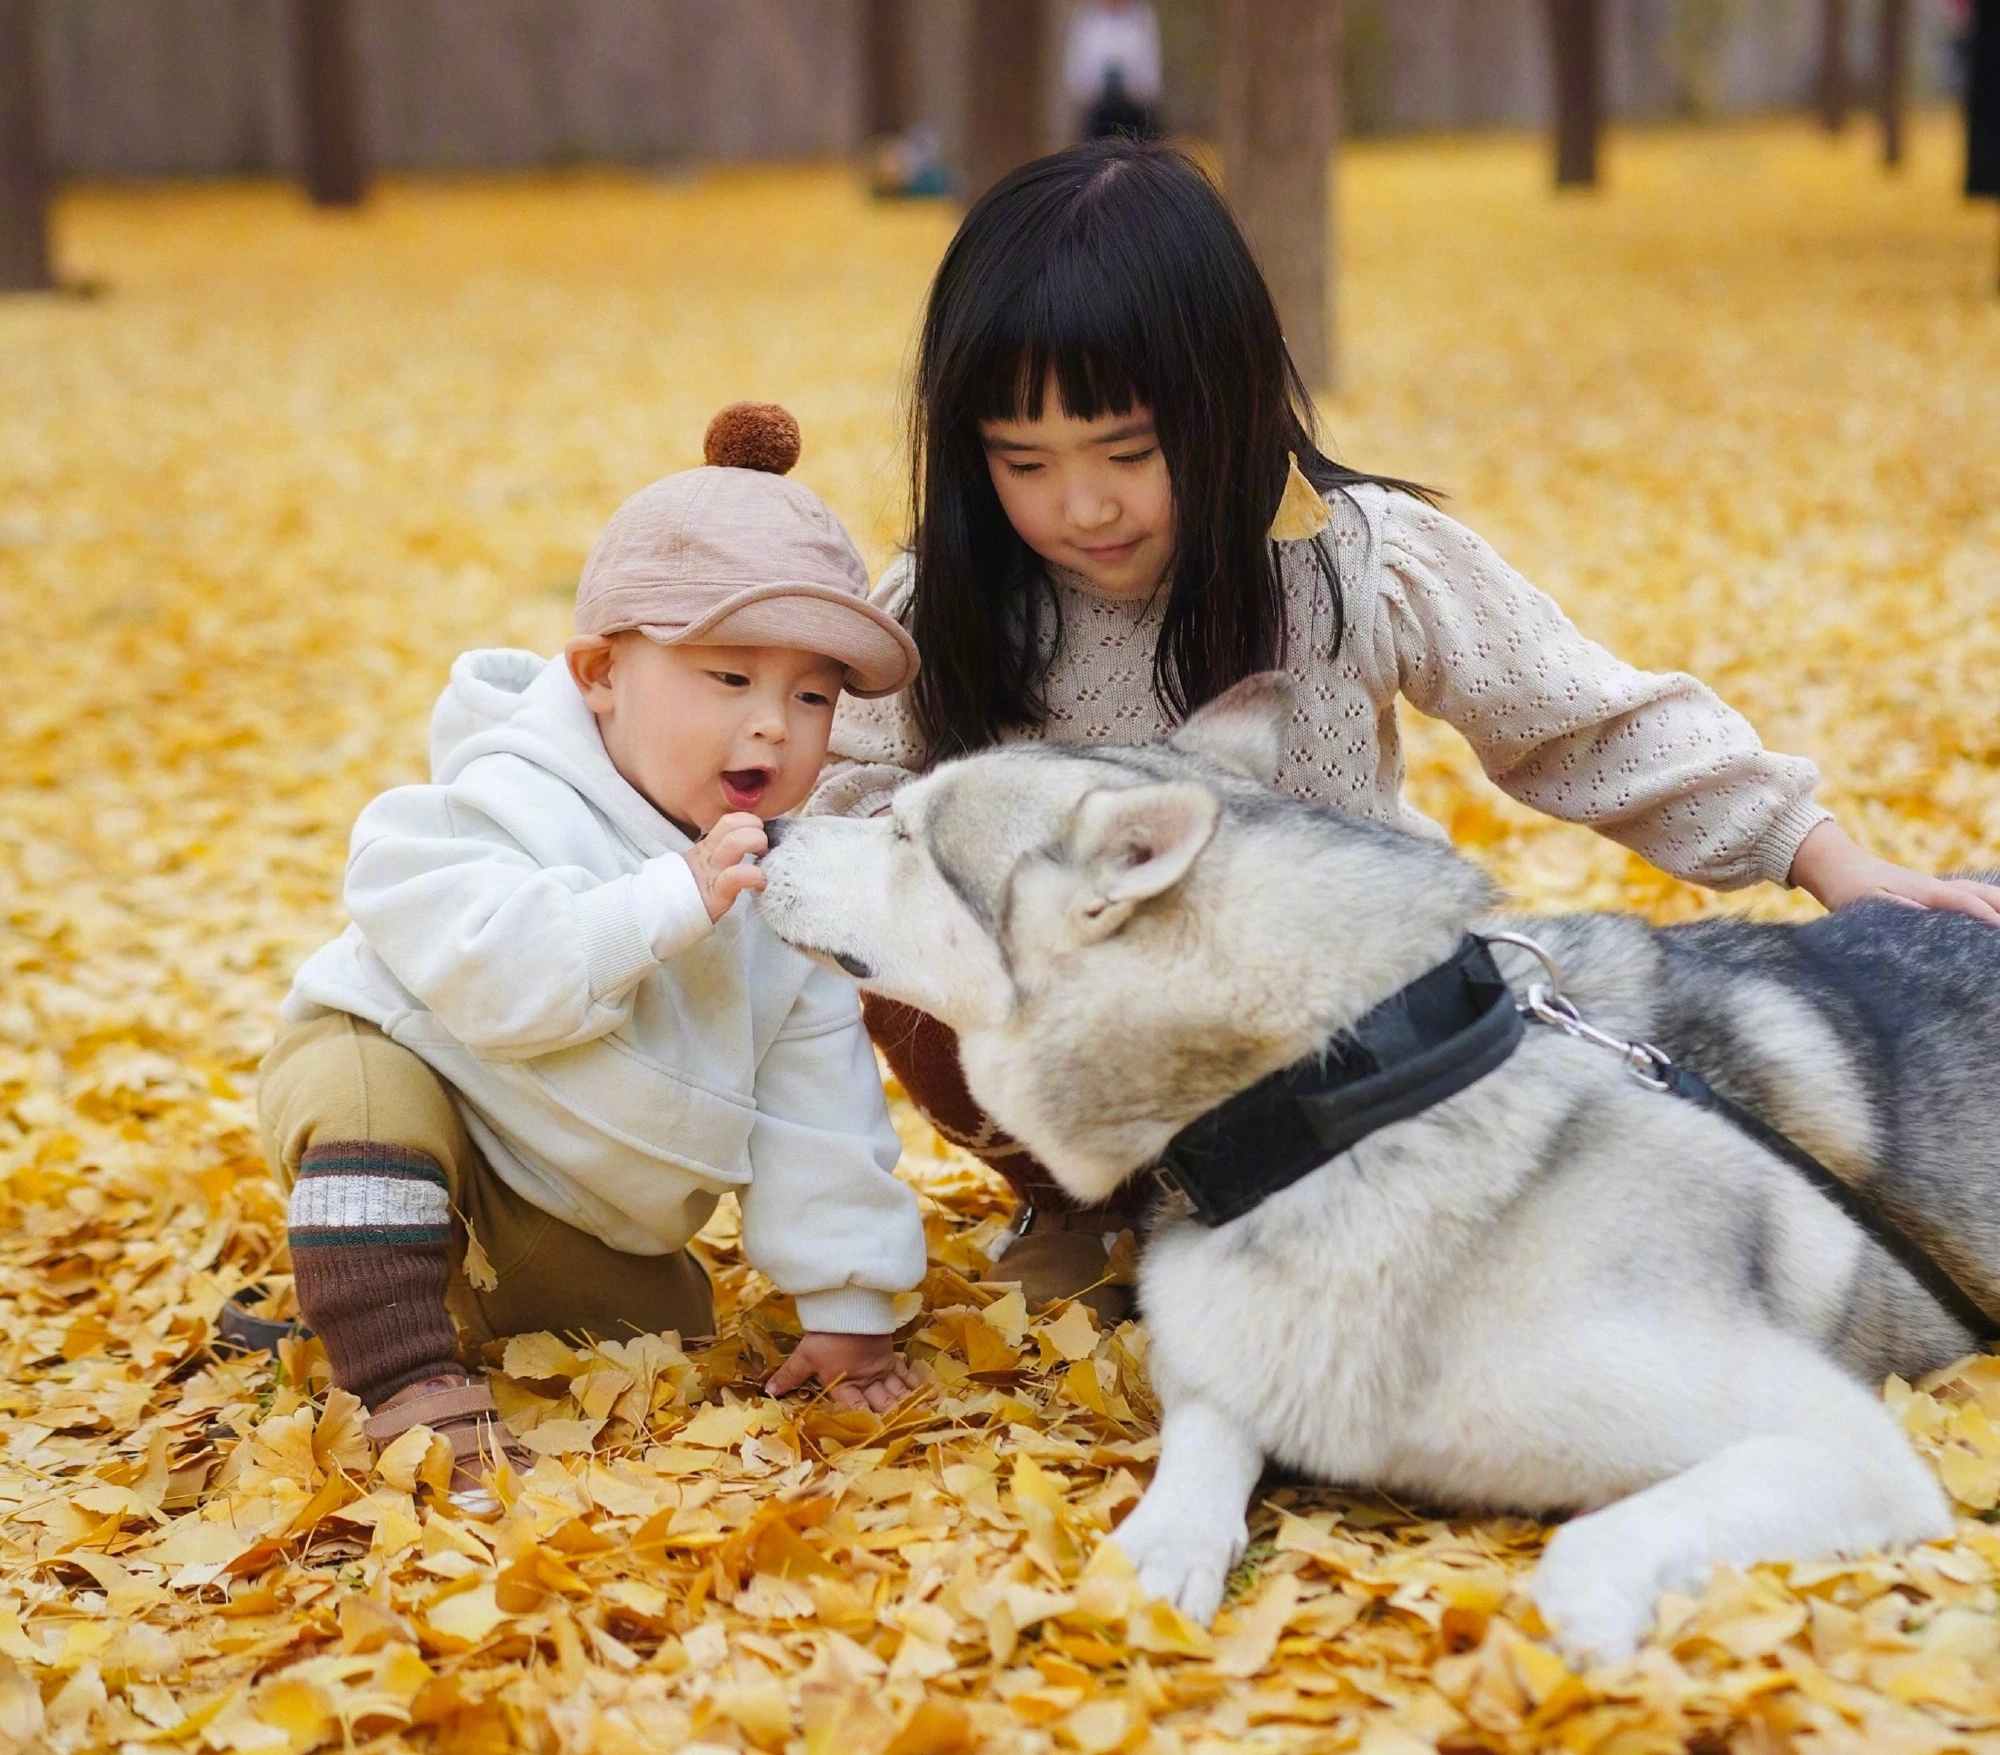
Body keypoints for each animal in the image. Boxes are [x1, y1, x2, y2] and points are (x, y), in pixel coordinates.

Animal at [756, 671, 1992, 1663]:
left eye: (906, 837)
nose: (764, 828)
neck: (1337, 1105)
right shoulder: (1228, 1353)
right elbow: (1207, 1440)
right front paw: (1164, 1545)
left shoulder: (1846, 1446)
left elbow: (1591, 1550)